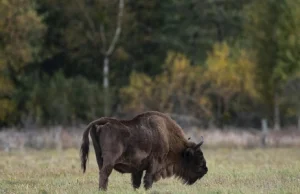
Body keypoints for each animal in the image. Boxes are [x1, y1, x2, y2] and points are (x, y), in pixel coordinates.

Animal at [79, 110, 207, 191]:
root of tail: (102, 122)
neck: (167, 136)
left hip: (99, 158)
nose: (205, 170)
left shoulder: (138, 168)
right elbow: (148, 180)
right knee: (104, 175)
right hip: (109, 161)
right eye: (199, 155)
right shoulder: (154, 164)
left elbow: (136, 182)